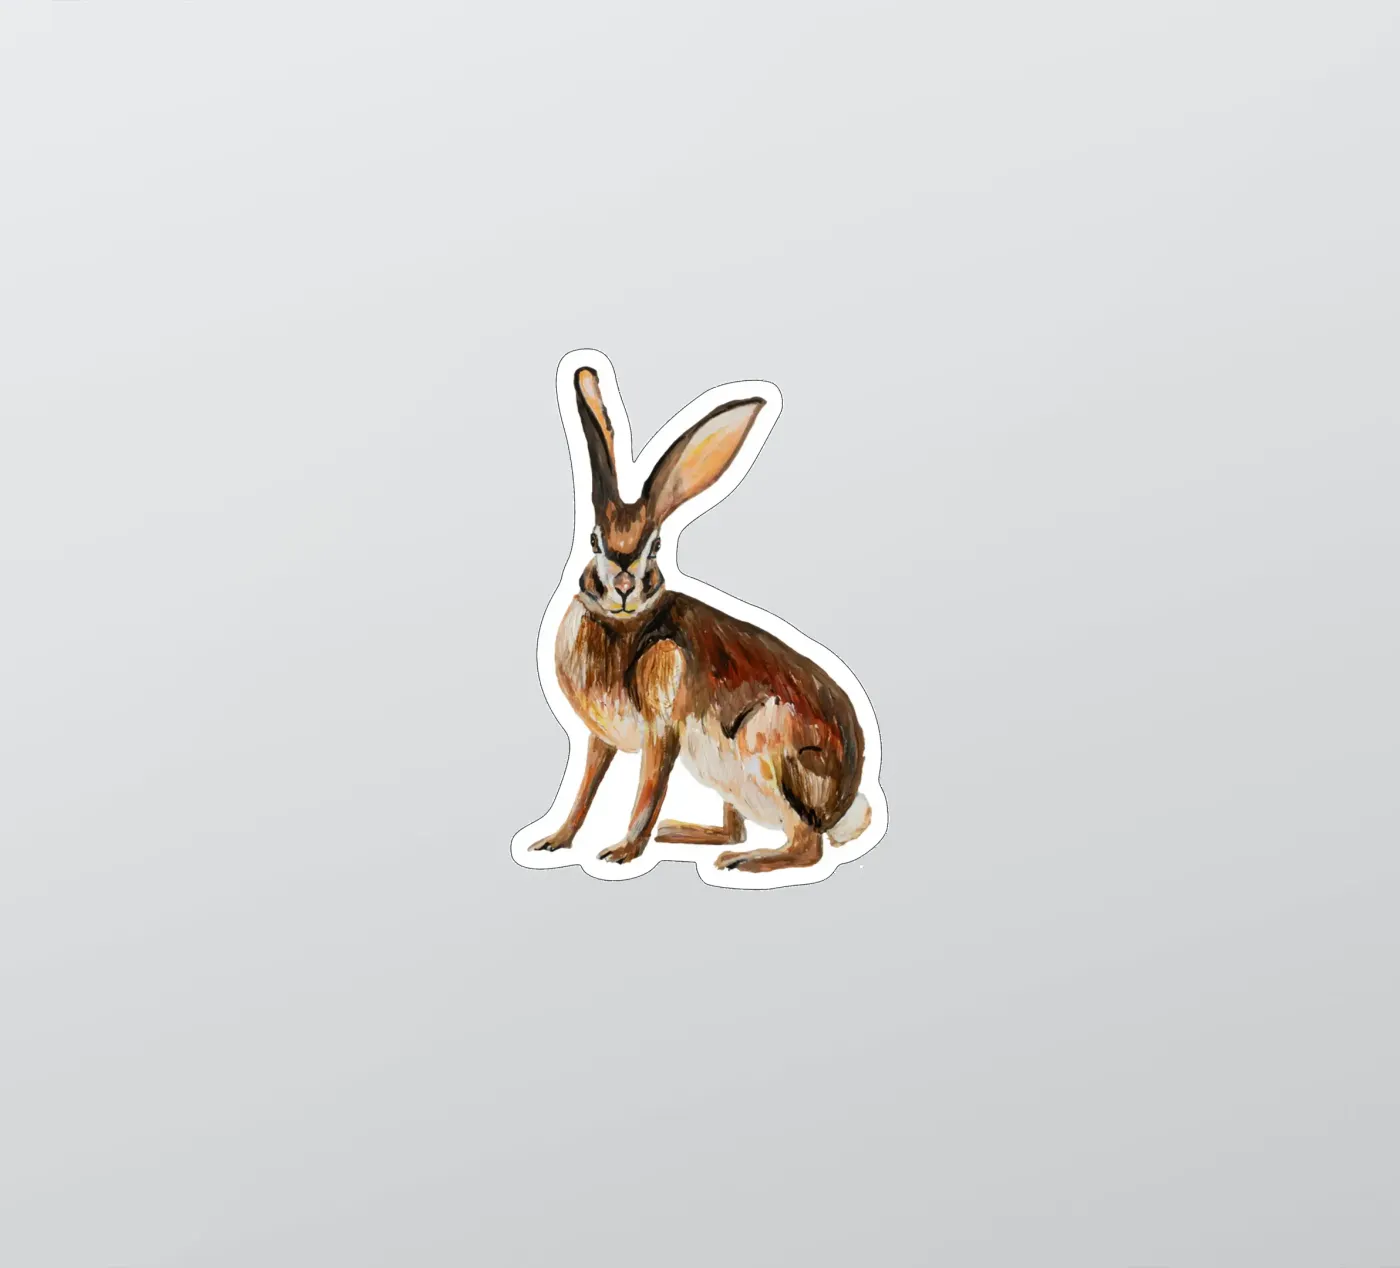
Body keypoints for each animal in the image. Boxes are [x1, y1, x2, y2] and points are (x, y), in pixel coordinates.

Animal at [527, 360, 875, 875]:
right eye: (593, 541)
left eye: (653, 548)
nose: (624, 585)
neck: (623, 624)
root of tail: (843, 806)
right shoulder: (599, 739)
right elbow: (585, 790)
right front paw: (554, 840)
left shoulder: (662, 730)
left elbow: (647, 791)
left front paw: (622, 852)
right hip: (726, 775)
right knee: (739, 825)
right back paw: (684, 832)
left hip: (766, 744)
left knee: (805, 845)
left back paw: (743, 861)